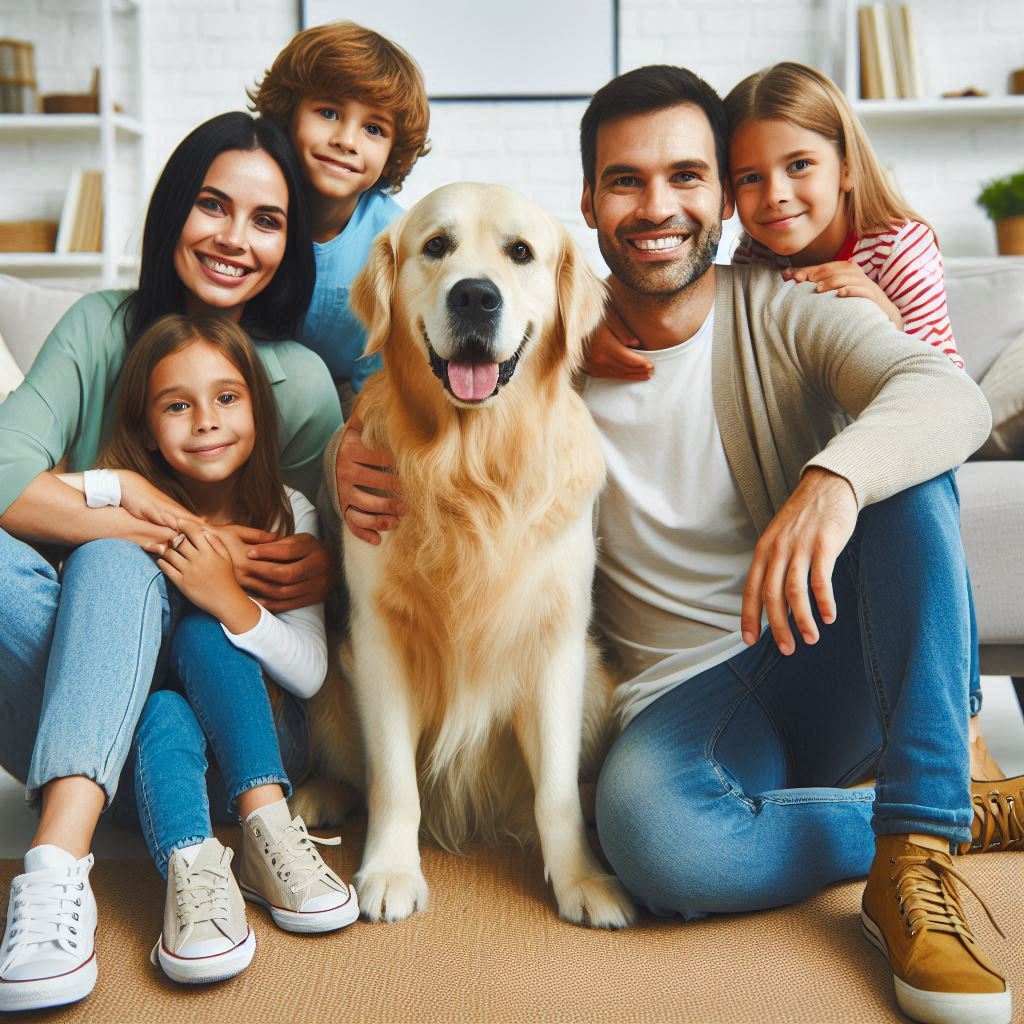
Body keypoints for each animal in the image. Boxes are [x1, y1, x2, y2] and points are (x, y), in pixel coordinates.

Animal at [292, 182, 634, 929]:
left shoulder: (557, 644)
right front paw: (391, 870)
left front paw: (583, 879)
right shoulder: (380, 637)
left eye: (521, 253)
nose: (476, 296)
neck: (471, 468)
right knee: (352, 768)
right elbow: (393, 779)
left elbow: (556, 792)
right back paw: (318, 794)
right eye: (436, 246)